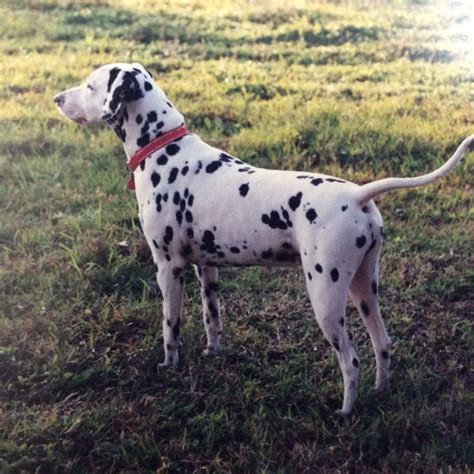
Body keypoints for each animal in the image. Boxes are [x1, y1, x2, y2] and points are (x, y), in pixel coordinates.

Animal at [54, 63, 470, 414]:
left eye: (90, 86)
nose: (57, 98)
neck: (166, 151)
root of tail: (358, 196)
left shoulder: (168, 267)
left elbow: (170, 327)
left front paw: (169, 367)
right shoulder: (206, 268)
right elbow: (212, 318)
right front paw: (212, 353)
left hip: (326, 297)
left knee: (351, 362)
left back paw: (345, 412)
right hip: (364, 289)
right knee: (383, 345)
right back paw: (381, 393)